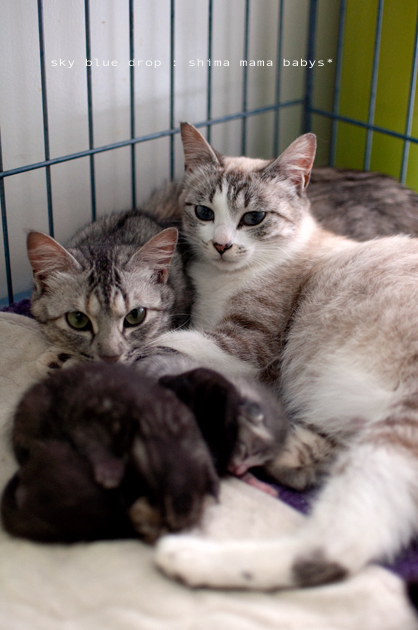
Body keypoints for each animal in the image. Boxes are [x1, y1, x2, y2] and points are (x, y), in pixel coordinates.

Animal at [120, 125, 418, 591]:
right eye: (204, 212)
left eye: (254, 218)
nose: (221, 245)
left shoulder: (248, 345)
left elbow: (172, 338)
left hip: (400, 427)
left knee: (334, 549)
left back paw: (187, 557)